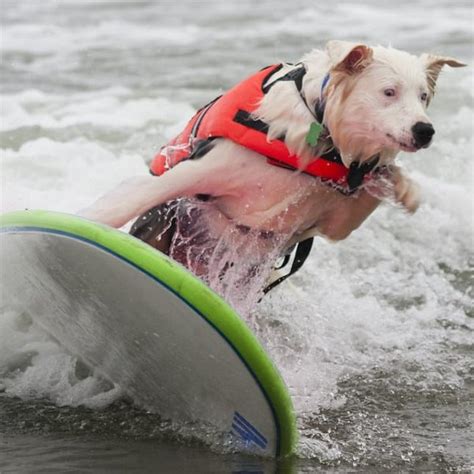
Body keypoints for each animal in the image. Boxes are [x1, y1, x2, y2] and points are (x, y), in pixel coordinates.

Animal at [80, 42, 462, 304]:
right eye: (389, 92)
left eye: (423, 96)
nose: (425, 131)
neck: (323, 137)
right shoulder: (204, 169)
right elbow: (129, 197)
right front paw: (85, 220)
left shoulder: (337, 216)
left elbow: (369, 185)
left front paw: (402, 186)